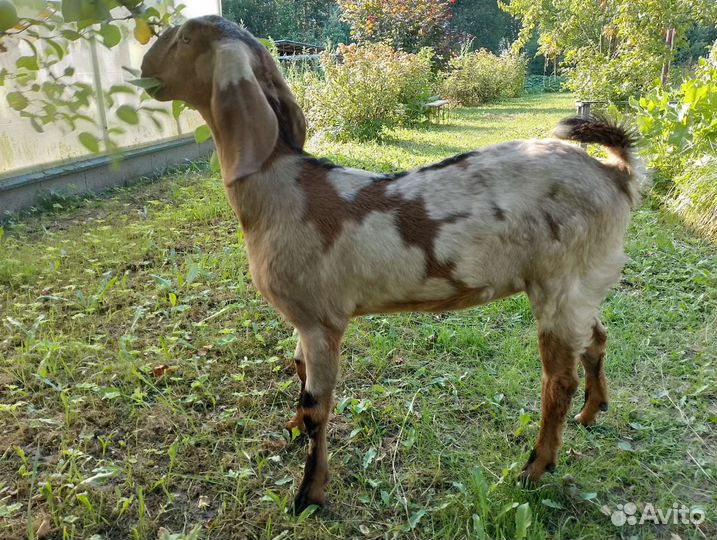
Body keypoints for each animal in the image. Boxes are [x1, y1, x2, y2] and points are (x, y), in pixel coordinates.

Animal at [141, 16, 641, 513]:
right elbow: (297, 371)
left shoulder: (322, 320)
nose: (145, 64)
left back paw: (535, 468)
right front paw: (291, 432)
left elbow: (317, 405)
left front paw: (308, 494)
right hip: (582, 281)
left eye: (185, 38)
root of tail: (616, 175)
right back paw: (592, 412)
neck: (285, 189)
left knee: (559, 380)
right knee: (595, 338)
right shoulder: (303, 320)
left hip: (560, 281)